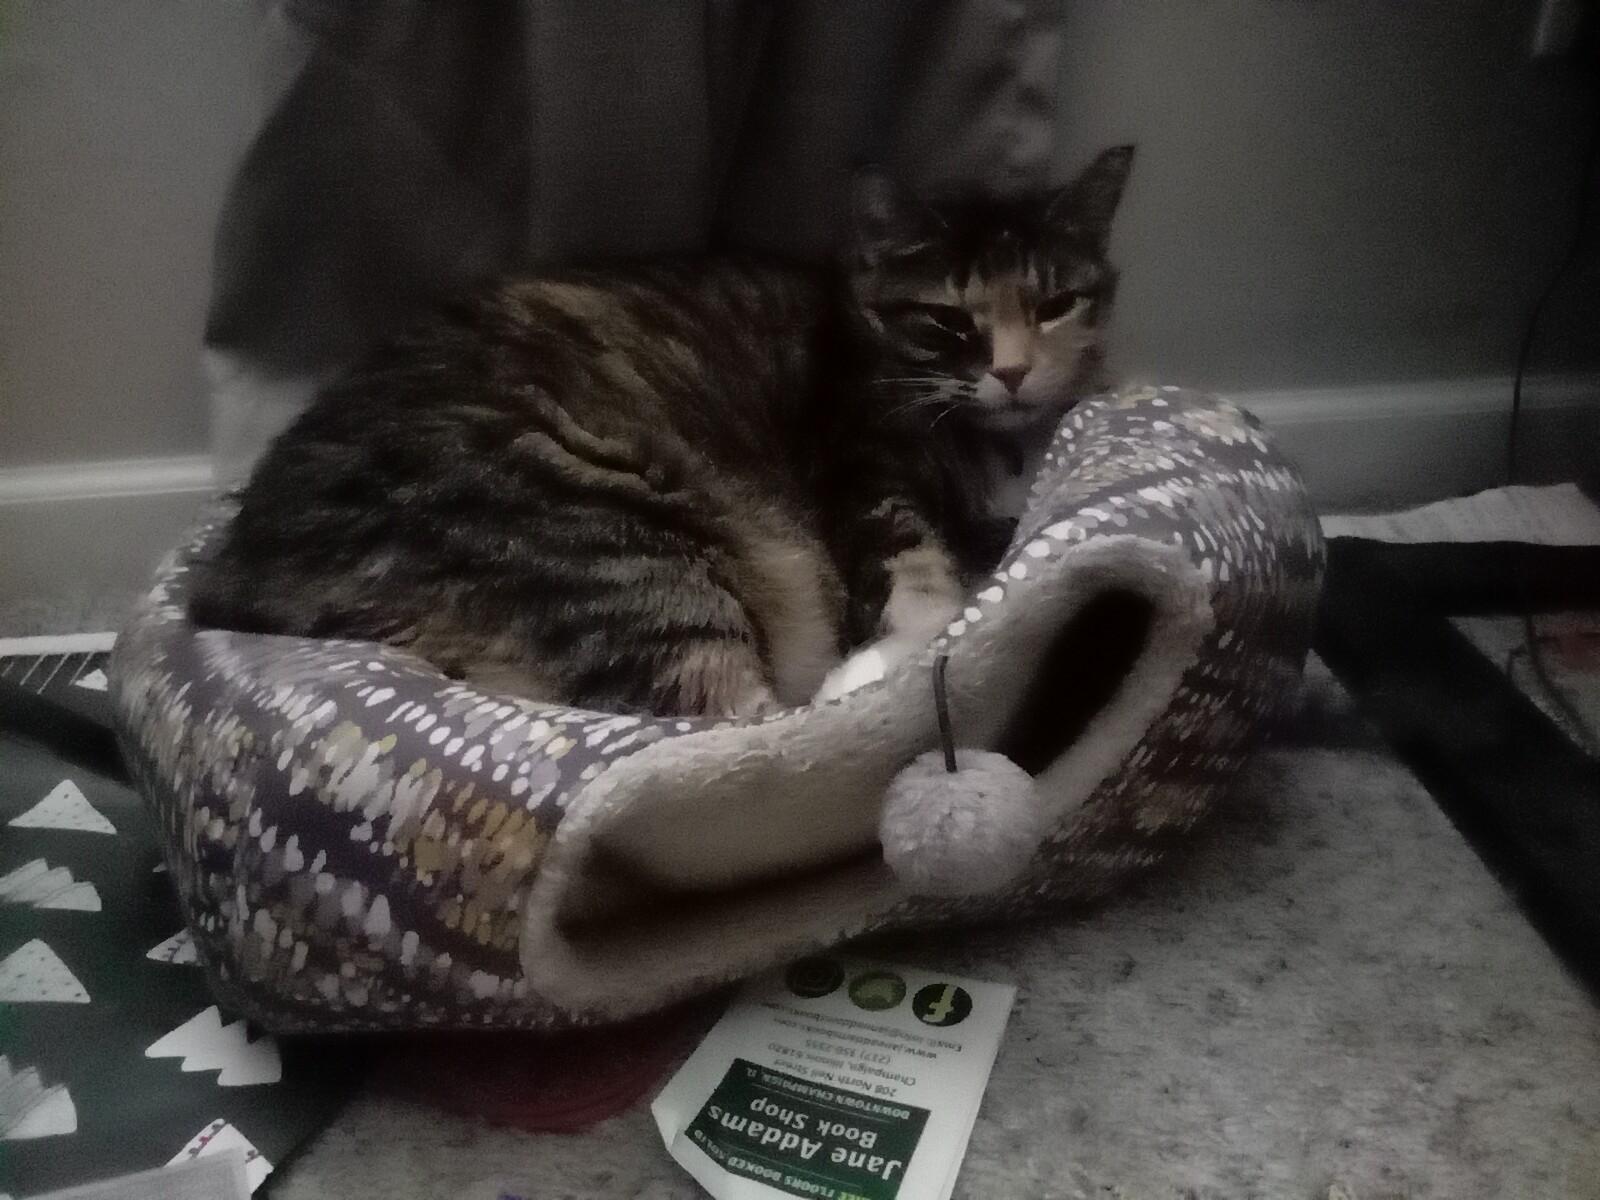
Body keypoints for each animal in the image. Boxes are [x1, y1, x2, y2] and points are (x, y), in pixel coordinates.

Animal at [188, 146, 1134, 717]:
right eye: (947, 320)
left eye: (1056, 303)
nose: (1014, 371)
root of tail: (249, 586)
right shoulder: (862, 465)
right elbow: (917, 574)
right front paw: (891, 657)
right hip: (618, 549)